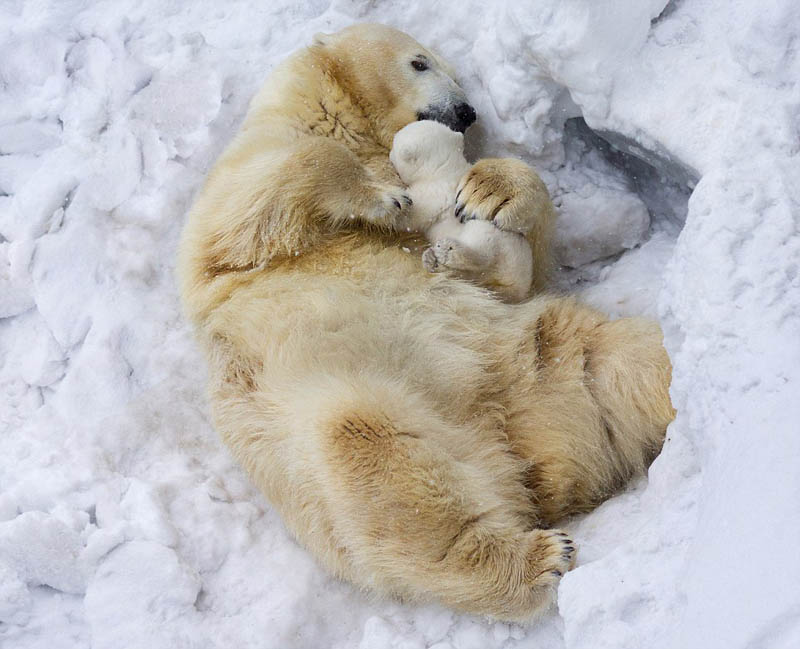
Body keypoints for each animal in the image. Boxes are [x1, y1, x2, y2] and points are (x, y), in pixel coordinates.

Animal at [390, 120, 536, 302]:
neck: (444, 167)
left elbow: (413, 213)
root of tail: (517, 288)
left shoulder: (435, 191)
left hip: (501, 243)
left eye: (394, 147)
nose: (389, 155)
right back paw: (433, 260)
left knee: (483, 248)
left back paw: (446, 250)